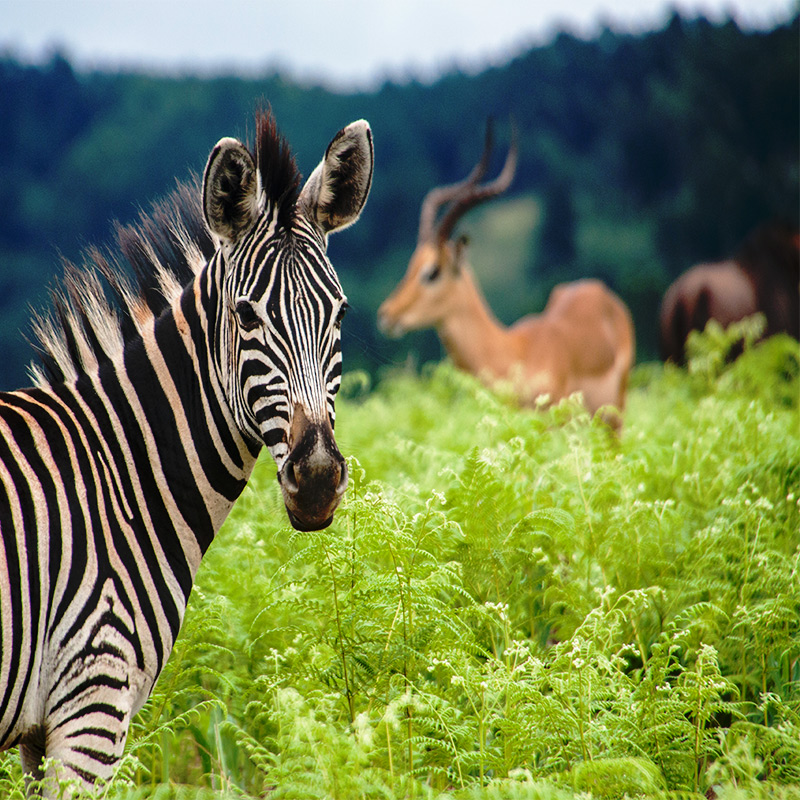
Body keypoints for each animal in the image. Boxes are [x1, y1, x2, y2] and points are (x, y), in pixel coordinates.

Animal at [0, 111, 376, 792]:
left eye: (339, 314)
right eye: (246, 317)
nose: (315, 480)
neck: (117, 475)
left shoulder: (44, 732)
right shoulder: (93, 700)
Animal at [378, 122, 636, 428]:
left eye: (432, 272)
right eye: (411, 264)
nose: (386, 313)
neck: (513, 353)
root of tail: (603, 294)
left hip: (614, 415)